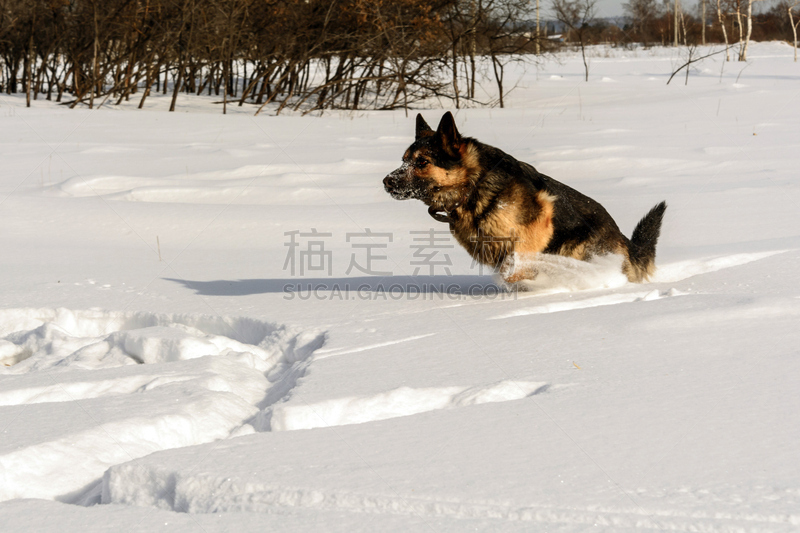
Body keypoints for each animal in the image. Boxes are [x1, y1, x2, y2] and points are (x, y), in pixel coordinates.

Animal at [384, 111, 664, 282]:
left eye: (422, 162)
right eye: (404, 160)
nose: (387, 182)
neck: (474, 185)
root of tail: (624, 240)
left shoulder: (536, 228)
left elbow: (515, 267)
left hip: (576, 248)